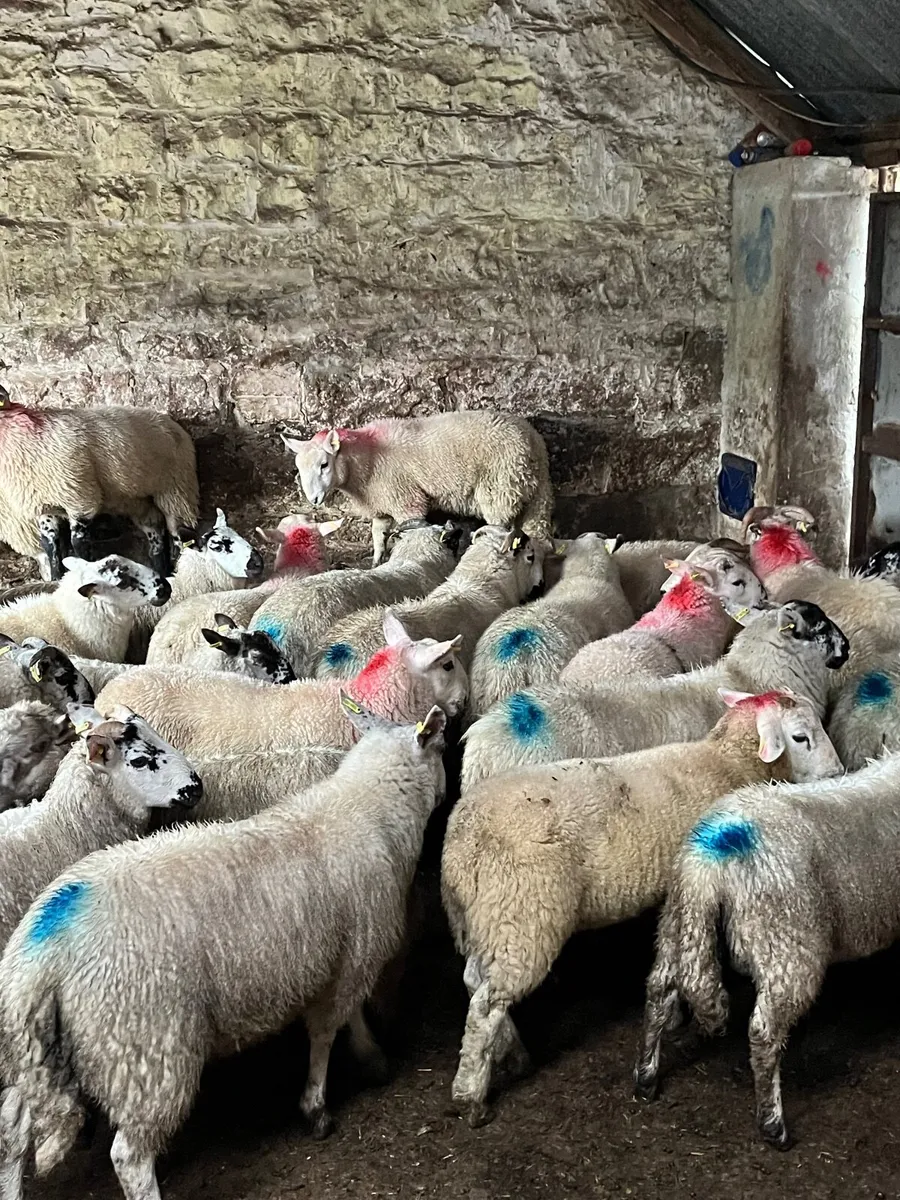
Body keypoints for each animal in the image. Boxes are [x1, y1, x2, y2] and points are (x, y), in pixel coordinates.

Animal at [0, 385, 198, 579]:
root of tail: (172, 423)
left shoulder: (80, 498)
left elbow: (78, 542)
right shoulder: (45, 507)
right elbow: (50, 545)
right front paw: (57, 578)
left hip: (176, 490)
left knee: (178, 532)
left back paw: (177, 568)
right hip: (136, 500)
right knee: (155, 530)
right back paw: (161, 569)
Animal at [0, 699, 446, 1200]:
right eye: (442, 747)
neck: (364, 809)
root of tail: (42, 948)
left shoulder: (333, 959)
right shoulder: (354, 956)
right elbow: (329, 1030)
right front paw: (327, 1096)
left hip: (31, 1051)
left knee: (13, 1126)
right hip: (146, 1048)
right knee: (130, 1156)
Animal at [283, 411, 553, 564]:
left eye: (324, 464)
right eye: (298, 467)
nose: (314, 499)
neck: (368, 456)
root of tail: (533, 444)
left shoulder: (405, 500)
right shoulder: (381, 503)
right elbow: (378, 536)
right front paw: (376, 561)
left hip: (499, 488)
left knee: (500, 525)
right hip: (535, 494)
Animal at [444, 690, 841, 1125]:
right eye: (800, 737)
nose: (837, 773)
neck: (726, 762)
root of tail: (462, 841)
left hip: (485, 917)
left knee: (473, 979)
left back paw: (511, 1054)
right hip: (523, 916)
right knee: (486, 1004)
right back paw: (471, 1096)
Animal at [633, 747, 900, 1150]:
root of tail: (706, 864)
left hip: (677, 922)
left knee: (658, 992)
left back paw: (646, 1078)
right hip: (786, 946)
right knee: (763, 1032)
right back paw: (773, 1124)